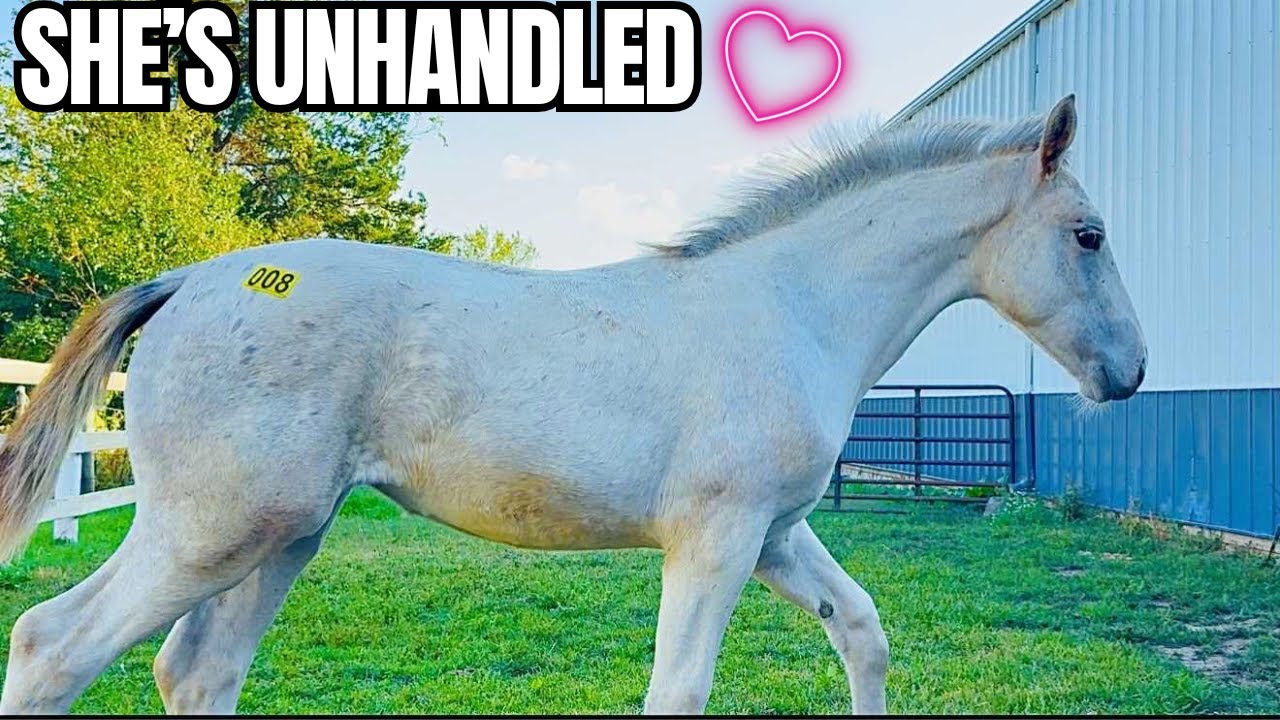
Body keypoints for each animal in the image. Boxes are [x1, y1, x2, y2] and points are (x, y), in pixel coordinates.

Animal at [0, 95, 1145, 714]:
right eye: (1088, 235)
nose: (1129, 374)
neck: (788, 307)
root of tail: (187, 279)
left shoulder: (776, 534)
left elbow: (860, 631)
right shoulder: (717, 539)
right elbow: (678, 689)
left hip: (282, 535)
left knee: (197, 671)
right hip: (216, 529)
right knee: (53, 646)